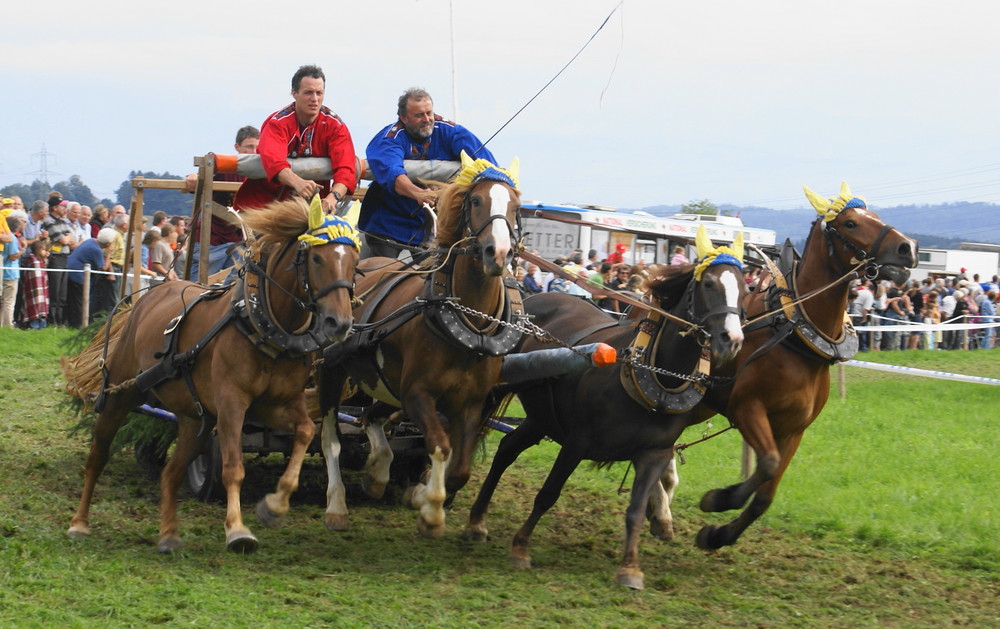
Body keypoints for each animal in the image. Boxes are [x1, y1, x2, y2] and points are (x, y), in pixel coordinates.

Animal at [62, 195, 360, 548]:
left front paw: (274, 506)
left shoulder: (277, 405)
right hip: (121, 394)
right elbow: (233, 468)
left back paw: (168, 534)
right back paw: (79, 523)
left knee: (171, 472)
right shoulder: (232, 404)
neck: (262, 324)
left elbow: (304, 432)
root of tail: (153, 292)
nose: (339, 323)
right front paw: (237, 529)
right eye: (316, 257)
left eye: (355, 261)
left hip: (195, 419)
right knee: (98, 456)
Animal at [316, 152, 528, 536]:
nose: (499, 252)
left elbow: (460, 468)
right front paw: (430, 509)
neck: (469, 323)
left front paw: (420, 494)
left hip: (385, 384)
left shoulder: (470, 403)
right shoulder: (418, 394)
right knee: (331, 440)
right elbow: (441, 447)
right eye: (476, 201)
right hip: (332, 370)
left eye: (516, 206)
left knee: (370, 416)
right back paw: (337, 505)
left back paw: (378, 473)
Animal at [464, 227, 748, 588]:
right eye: (709, 284)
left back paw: (477, 520)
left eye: (745, 289)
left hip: (542, 418)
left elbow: (636, 509)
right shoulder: (577, 441)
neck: (654, 373)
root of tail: (529, 300)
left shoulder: (654, 453)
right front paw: (521, 547)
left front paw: (630, 568)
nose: (732, 339)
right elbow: (549, 492)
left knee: (507, 448)